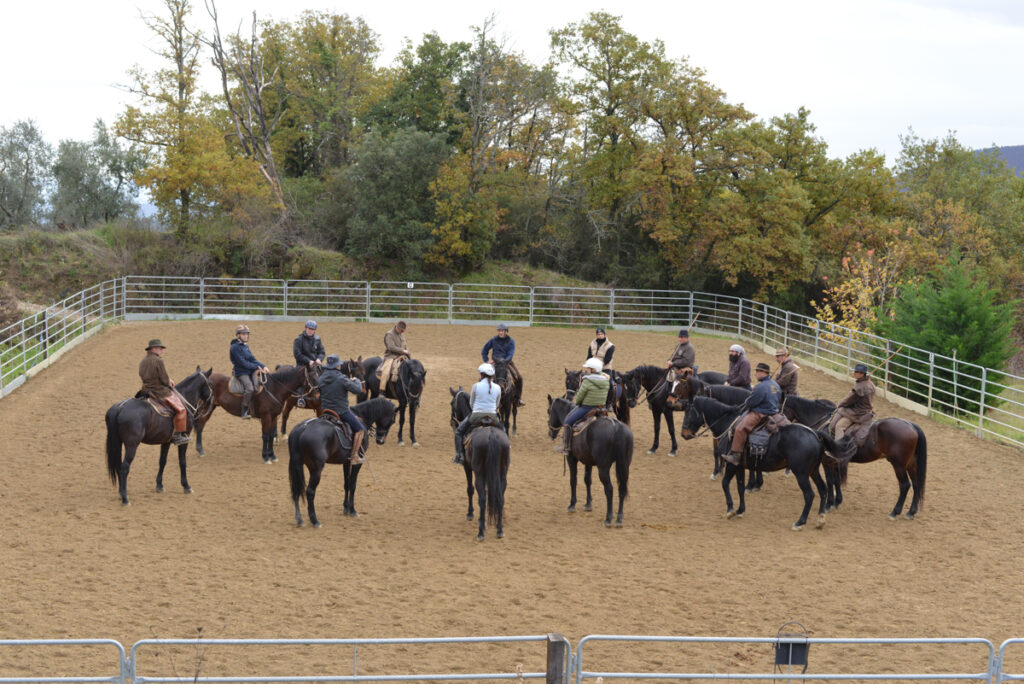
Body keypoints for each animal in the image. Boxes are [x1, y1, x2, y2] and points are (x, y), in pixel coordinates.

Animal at [104, 366, 212, 505]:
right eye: (210, 384)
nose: (210, 402)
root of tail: (120, 408)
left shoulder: (166, 441)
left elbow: (162, 461)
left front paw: (159, 485)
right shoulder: (184, 439)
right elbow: (182, 462)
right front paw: (186, 486)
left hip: (118, 444)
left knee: (119, 466)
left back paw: (121, 492)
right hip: (131, 446)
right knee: (124, 468)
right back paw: (125, 498)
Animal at [290, 397, 401, 528]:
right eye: (393, 420)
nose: (380, 441)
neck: (361, 416)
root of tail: (302, 428)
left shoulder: (346, 462)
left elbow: (346, 484)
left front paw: (345, 508)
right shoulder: (358, 462)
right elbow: (353, 484)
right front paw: (352, 510)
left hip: (297, 466)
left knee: (296, 490)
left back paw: (299, 519)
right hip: (316, 469)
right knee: (310, 492)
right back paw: (314, 520)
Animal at [450, 385, 509, 540]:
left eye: (452, 403)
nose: (452, 422)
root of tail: (491, 434)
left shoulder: (467, 466)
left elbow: (470, 489)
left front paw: (470, 513)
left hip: (479, 472)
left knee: (481, 498)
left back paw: (481, 531)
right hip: (502, 473)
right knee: (500, 497)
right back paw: (499, 529)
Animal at [544, 393, 630, 528]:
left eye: (549, 411)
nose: (550, 433)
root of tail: (617, 428)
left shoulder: (571, 458)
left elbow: (573, 480)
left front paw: (572, 504)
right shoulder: (588, 461)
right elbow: (587, 480)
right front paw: (588, 504)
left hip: (603, 468)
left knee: (609, 489)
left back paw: (608, 518)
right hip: (624, 465)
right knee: (622, 488)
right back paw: (619, 519)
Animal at [679, 395, 847, 528]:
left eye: (688, 412)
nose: (684, 434)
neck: (728, 424)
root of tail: (815, 434)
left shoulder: (731, 464)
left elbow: (725, 483)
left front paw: (730, 509)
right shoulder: (740, 466)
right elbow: (740, 487)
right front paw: (740, 510)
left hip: (801, 474)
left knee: (809, 494)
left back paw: (800, 522)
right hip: (813, 471)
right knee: (823, 489)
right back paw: (820, 518)